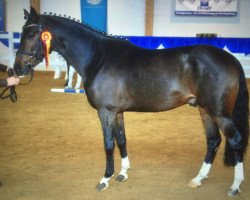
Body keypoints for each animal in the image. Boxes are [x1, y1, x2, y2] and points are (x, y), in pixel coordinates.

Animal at [14, 7, 249, 196]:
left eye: (32, 33)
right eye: (22, 32)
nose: (17, 69)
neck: (98, 57)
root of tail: (231, 59)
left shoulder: (106, 111)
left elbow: (108, 144)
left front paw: (105, 179)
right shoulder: (117, 112)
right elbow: (121, 140)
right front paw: (123, 173)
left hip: (219, 113)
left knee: (235, 140)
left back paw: (235, 186)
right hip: (204, 109)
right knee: (213, 141)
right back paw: (198, 179)